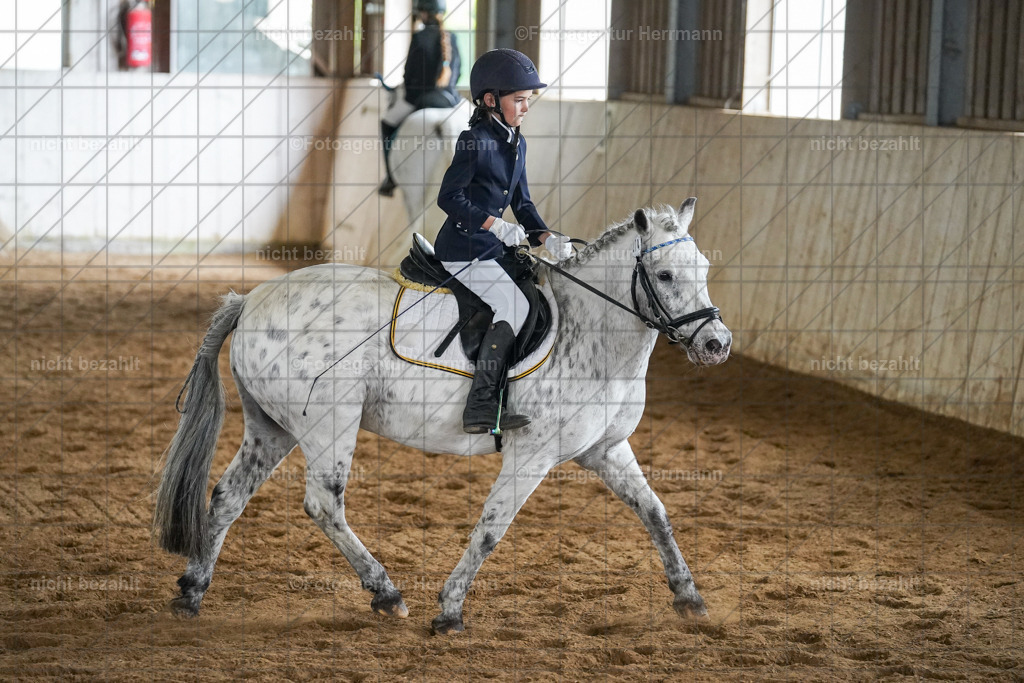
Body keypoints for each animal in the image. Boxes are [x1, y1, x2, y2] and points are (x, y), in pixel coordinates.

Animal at [154, 199, 732, 635]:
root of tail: (252, 298)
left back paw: (191, 592)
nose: (717, 344)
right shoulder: (532, 455)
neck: (590, 332)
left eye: (704, 269)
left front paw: (689, 598)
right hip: (328, 423)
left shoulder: (606, 450)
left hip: (270, 427)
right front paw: (450, 611)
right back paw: (386, 594)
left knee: (228, 496)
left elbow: (656, 513)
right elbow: (491, 529)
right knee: (323, 504)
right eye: (664, 274)